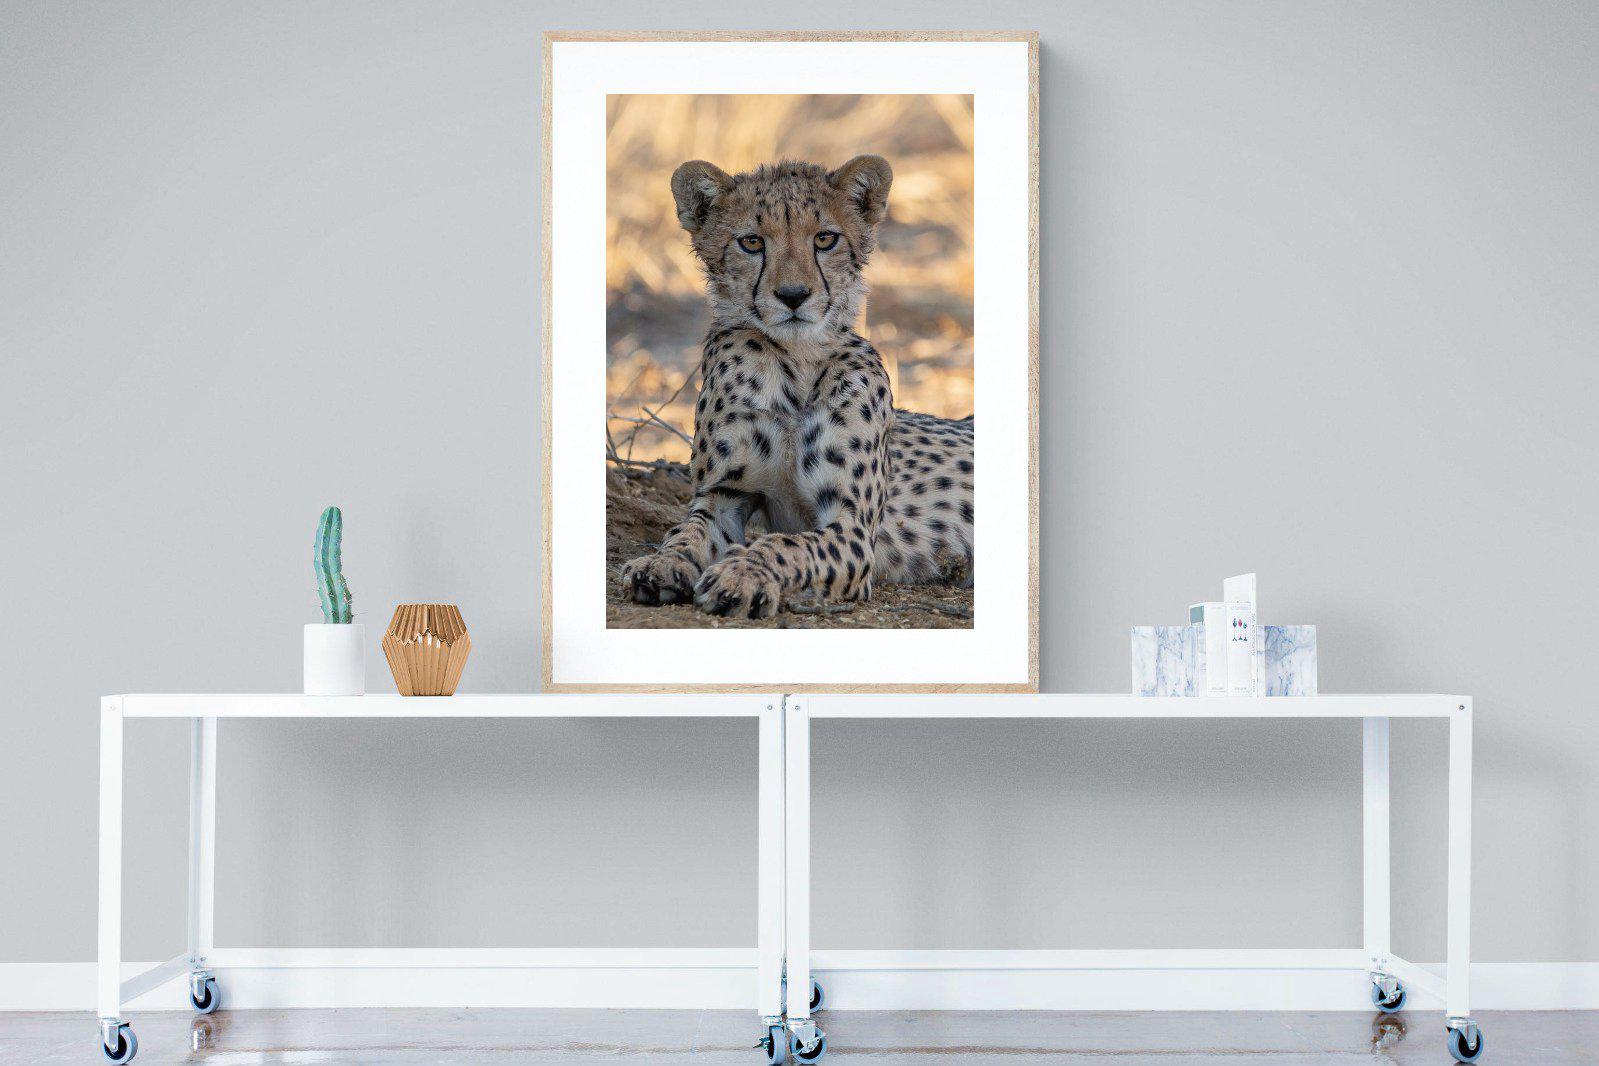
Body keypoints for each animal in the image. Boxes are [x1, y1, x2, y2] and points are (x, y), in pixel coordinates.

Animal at [619, 154, 975, 620]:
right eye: (752, 242)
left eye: (825, 238)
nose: (793, 295)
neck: (796, 363)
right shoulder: (724, 496)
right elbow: (687, 531)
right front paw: (660, 563)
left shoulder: (852, 527)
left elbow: (786, 544)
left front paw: (742, 575)